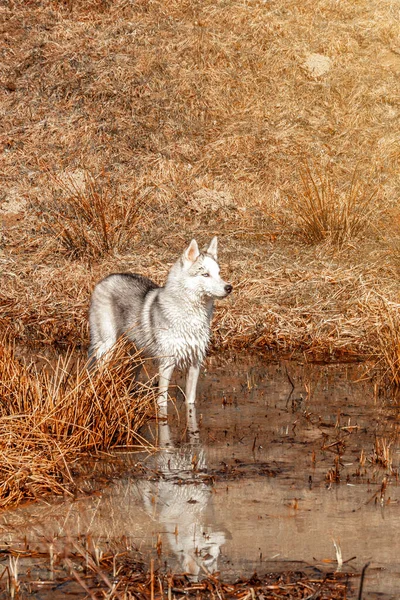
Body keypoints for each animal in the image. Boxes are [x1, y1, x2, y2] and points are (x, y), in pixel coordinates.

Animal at [87, 237, 231, 414]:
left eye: (218, 273)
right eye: (205, 274)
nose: (229, 287)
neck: (191, 317)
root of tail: (104, 279)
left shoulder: (195, 364)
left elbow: (190, 401)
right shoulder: (167, 364)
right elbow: (162, 401)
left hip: (136, 358)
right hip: (107, 347)